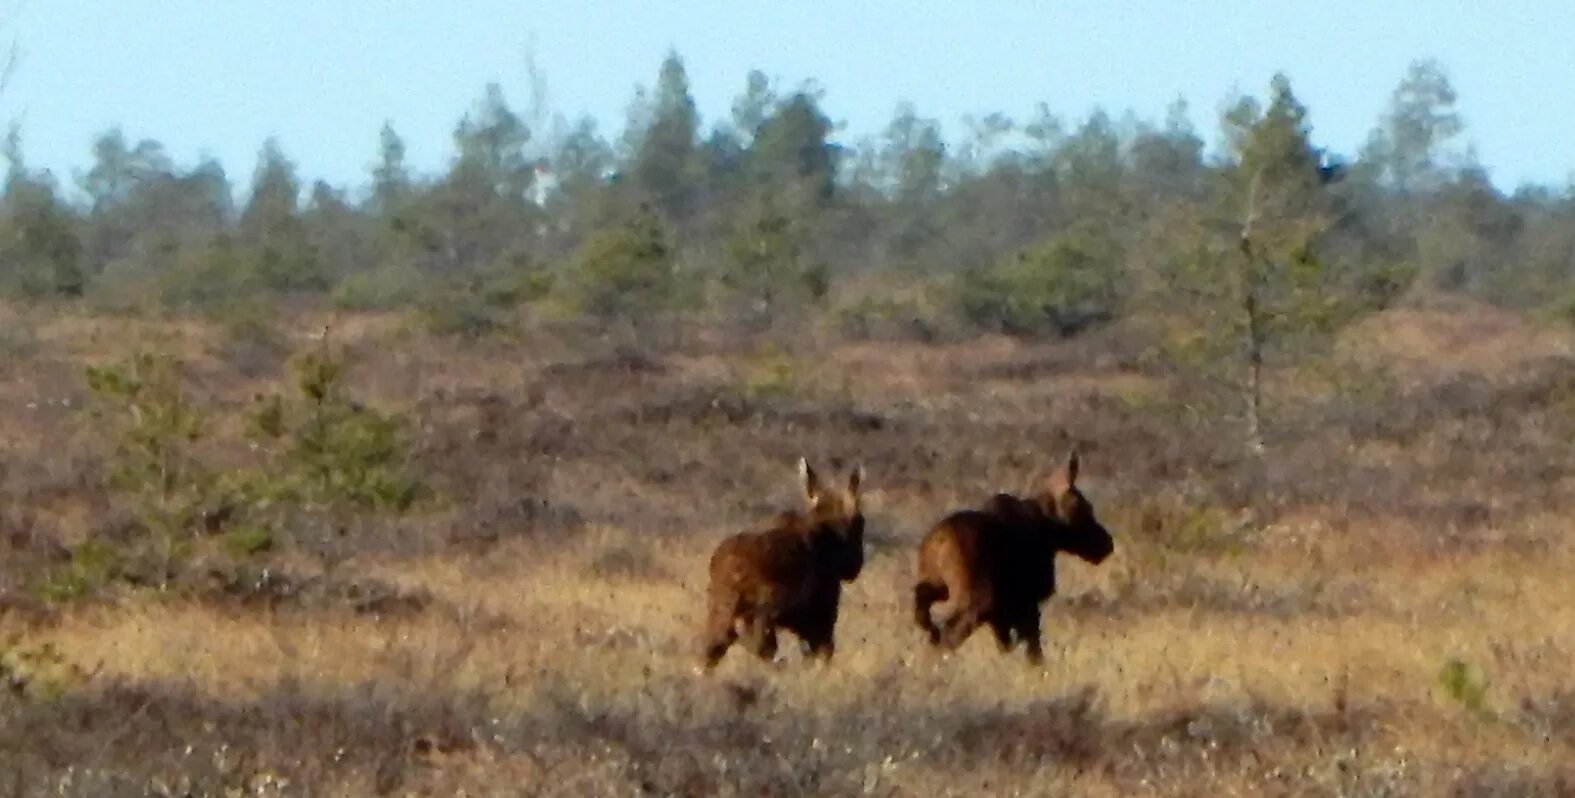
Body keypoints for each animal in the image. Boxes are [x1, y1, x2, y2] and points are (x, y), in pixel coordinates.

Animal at [705, 459, 869, 670]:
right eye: (860, 522)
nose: (855, 566)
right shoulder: (821, 617)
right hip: (762, 615)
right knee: (761, 648)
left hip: (720, 616)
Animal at [907, 453, 1115, 664]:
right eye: (1082, 508)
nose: (1107, 543)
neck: (1049, 533)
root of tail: (938, 542)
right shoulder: (1025, 602)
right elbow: (1033, 649)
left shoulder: (1002, 612)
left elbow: (1007, 645)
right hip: (977, 599)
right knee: (950, 630)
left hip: (939, 585)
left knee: (922, 607)